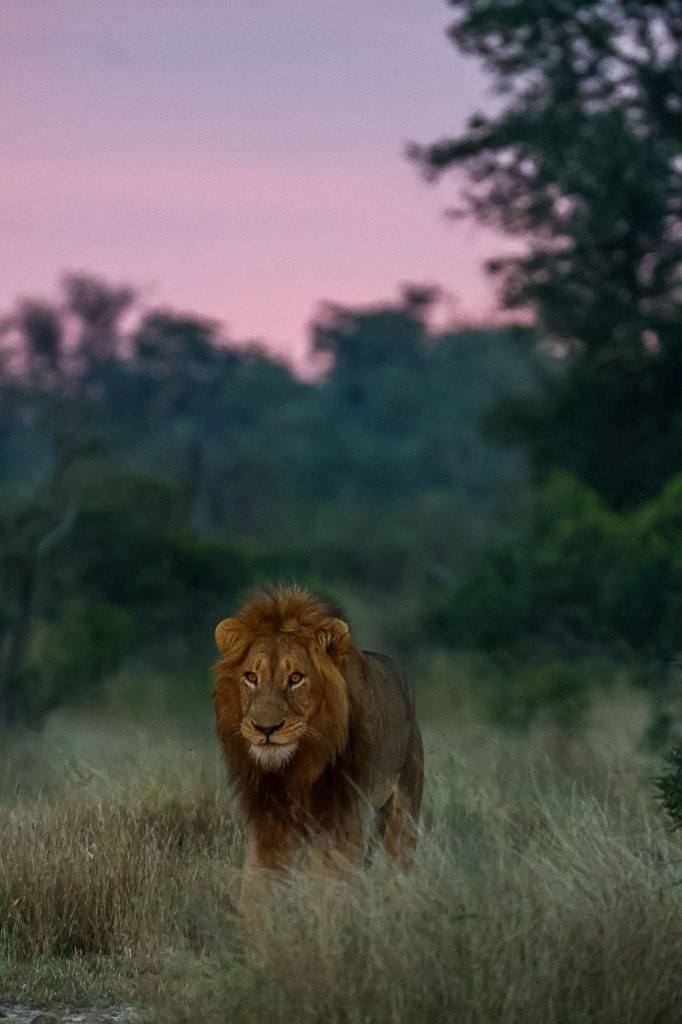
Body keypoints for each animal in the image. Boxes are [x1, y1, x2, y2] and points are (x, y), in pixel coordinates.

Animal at [213, 585, 423, 915]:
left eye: (295, 678)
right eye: (251, 677)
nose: (265, 728)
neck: (298, 766)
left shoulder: (342, 818)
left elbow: (332, 880)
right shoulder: (270, 819)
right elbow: (258, 883)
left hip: (404, 801)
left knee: (399, 860)